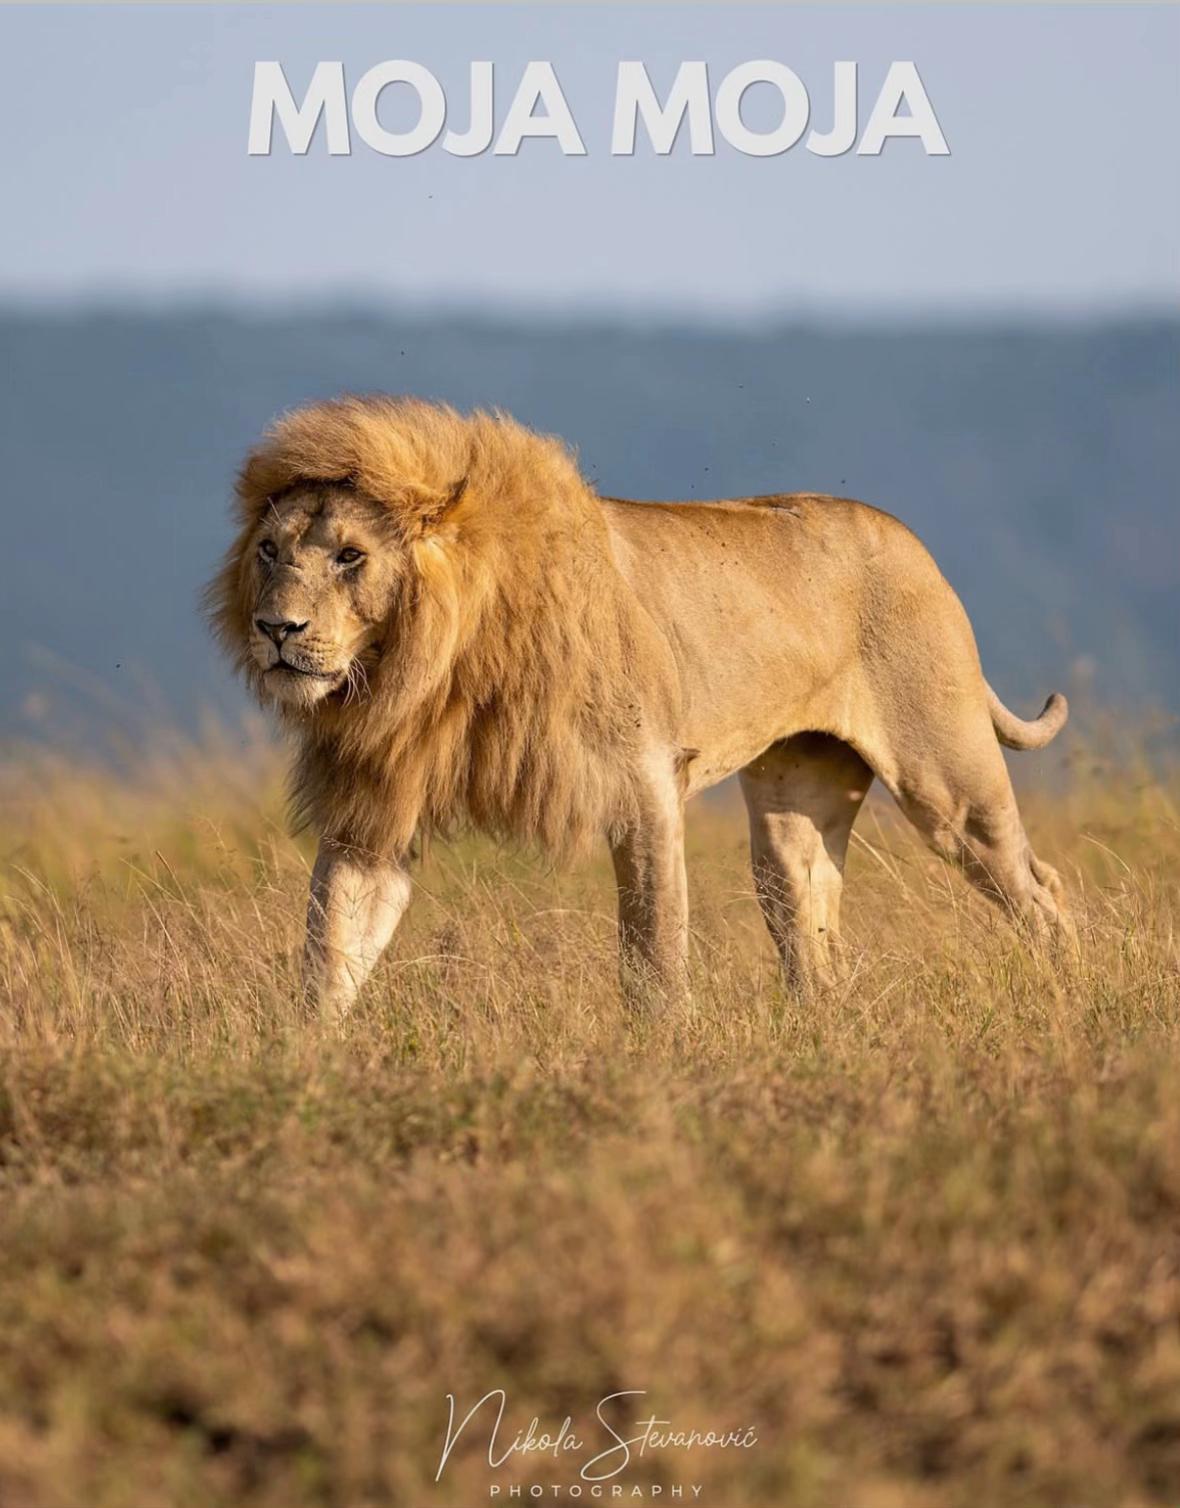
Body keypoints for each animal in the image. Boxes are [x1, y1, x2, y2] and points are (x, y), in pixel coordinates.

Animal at [206, 395, 1071, 1018]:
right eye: (269, 551)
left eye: (351, 557)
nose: (276, 629)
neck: (423, 668)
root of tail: (913, 542)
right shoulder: (374, 809)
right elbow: (332, 945)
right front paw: (305, 1060)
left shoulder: (644, 782)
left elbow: (652, 945)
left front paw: (666, 1049)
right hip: (793, 806)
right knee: (809, 912)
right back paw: (819, 1027)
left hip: (947, 781)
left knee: (1039, 885)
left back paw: (1070, 997)